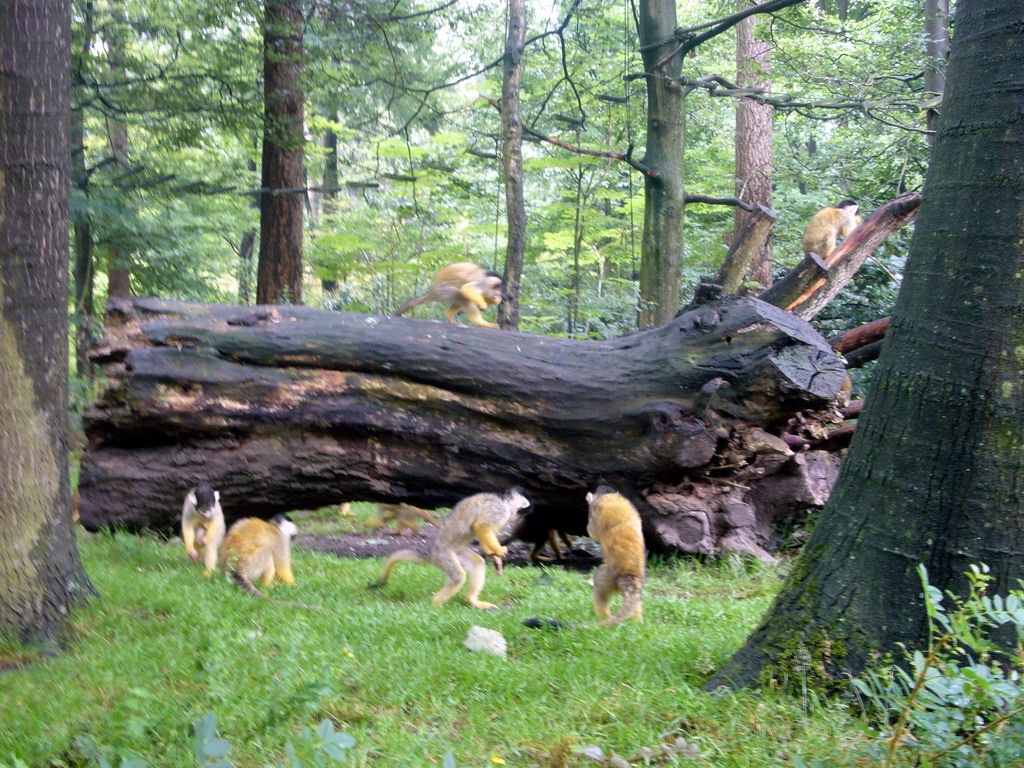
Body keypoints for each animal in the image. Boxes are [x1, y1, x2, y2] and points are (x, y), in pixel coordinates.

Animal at [524, 489, 643, 626]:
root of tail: (630, 573)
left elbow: (594, 532)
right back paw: (636, 621)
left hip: (610, 575)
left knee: (600, 587)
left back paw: (603, 616)